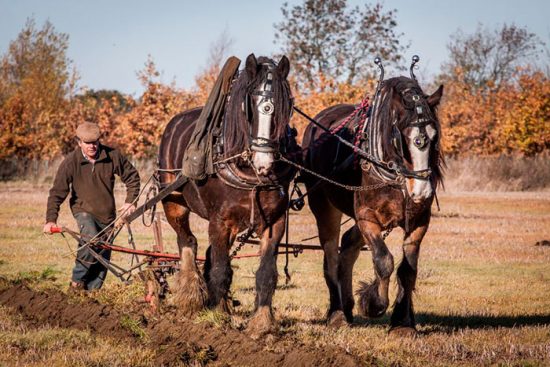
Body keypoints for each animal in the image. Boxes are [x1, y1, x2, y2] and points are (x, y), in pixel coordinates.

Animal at [158, 54, 298, 340]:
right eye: (250, 105)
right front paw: (218, 318)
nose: (264, 162)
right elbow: (221, 270)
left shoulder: (274, 222)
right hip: (173, 203)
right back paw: (191, 295)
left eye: (285, 105)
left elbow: (266, 273)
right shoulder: (219, 221)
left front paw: (262, 324)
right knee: (187, 241)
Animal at [302, 72, 444, 336]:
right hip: (324, 206)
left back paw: (347, 307)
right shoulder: (367, 217)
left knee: (348, 245)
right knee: (332, 255)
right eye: (402, 137)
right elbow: (384, 260)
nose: (421, 191)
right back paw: (337, 313)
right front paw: (375, 303)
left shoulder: (419, 221)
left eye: (434, 136)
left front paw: (402, 322)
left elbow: (408, 270)